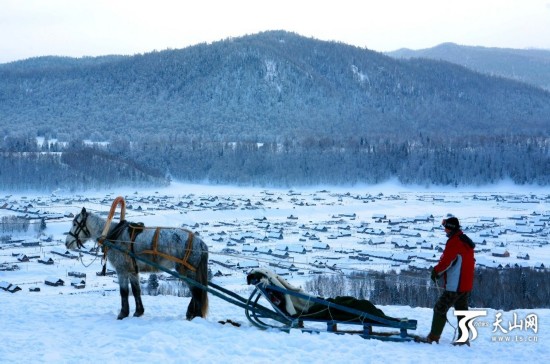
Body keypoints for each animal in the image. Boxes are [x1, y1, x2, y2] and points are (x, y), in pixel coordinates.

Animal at [67, 206, 209, 320]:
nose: (67, 242)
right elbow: (136, 291)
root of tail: (200, 242)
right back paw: (191, 313)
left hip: (186, 270)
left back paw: (195, 315)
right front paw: (138, 312)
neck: (114, 236)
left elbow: (124, 292)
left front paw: (123, 314)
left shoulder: (121, 270)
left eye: (74, 224)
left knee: (196, 291)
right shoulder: (132, 271)